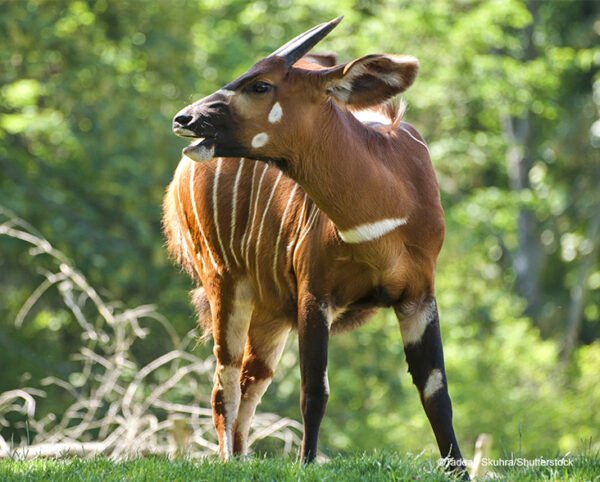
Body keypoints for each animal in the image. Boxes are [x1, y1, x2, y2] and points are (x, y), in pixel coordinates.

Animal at [165, 16, 468, 478]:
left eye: (260, 85)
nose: (185, 117)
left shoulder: (419, 295)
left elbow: (436, 391)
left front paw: (461, 471)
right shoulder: (314, 293)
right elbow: (314, 389)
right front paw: (307, 463)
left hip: (270, 312)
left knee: (252, 378)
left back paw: (243, 458)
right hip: (224, 280)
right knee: (225, 380)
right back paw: (228, 461)